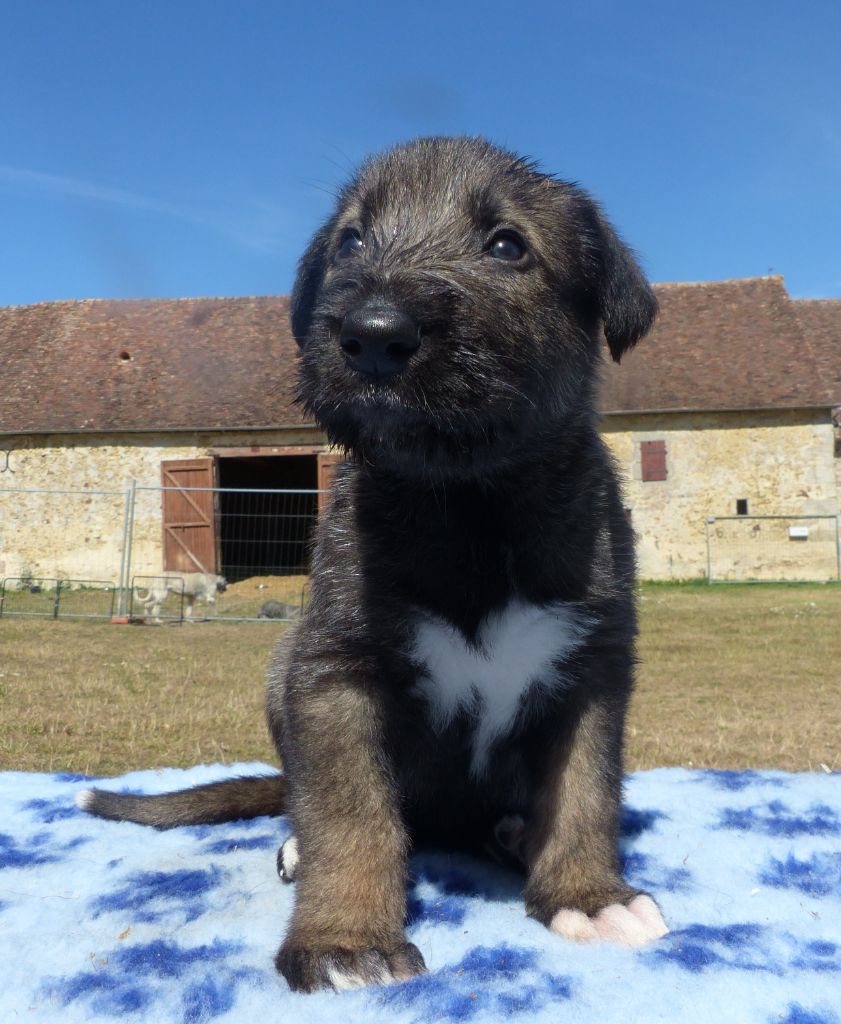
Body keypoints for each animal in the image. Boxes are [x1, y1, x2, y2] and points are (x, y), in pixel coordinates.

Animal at [80, 136, 667, 991]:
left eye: (507, 246)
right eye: (351, 242)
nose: (372, 332)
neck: (468, 503)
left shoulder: (591, 669)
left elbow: (585, 795)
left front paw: (588, 897)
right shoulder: (334, 675)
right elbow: (351, 815)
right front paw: (345, 937)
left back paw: (514, 835)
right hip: (282, 666)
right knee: (309, 800)